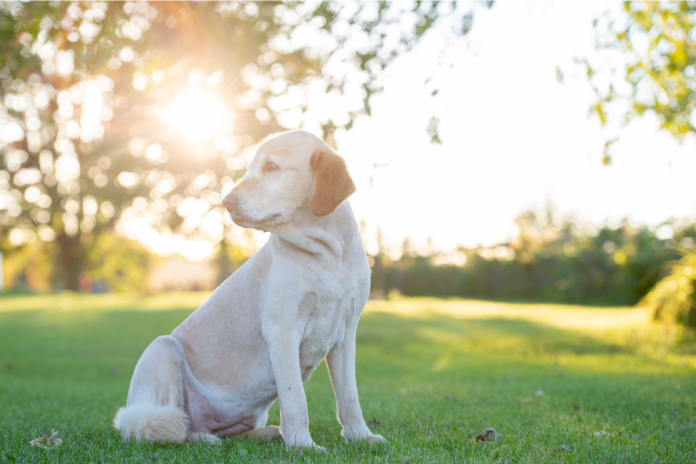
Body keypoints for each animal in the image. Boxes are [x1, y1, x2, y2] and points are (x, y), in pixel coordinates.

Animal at [115, 130, 386, 450]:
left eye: (271, 167)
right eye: (250, 169)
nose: (226, 202)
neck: (328, 256)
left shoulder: (344, 335)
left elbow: (349, 398)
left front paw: (361, 436)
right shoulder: (282, 331)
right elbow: (296, 400)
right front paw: (302, 445)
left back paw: (266, 432)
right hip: (163, 349)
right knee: (168, 428)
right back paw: (202, 437)